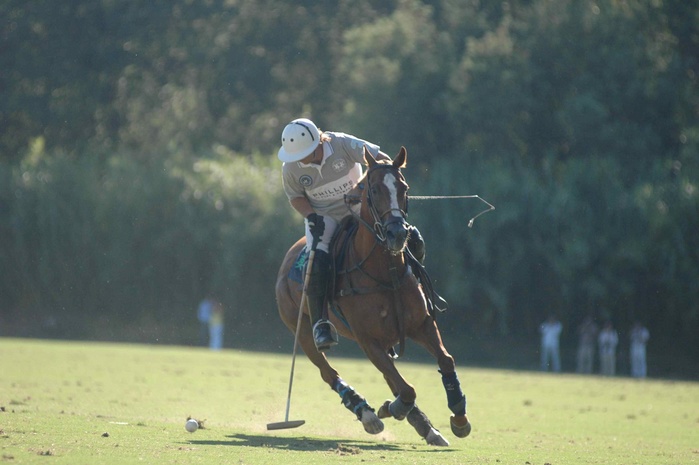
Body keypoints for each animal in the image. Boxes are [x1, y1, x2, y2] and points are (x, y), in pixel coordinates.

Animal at [274, 146, 471, 446]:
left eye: (404, 187)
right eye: (375, 189)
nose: (397, 233)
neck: (384, 272)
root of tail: (289, 256)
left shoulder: (421, 324)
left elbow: (445, 361)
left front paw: (459, 417)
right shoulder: (367, 339)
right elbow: (407, 389)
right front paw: (390, 408)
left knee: (392, 378)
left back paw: (425, 428)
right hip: (302, 331)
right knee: (328, 371)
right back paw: (367, 412)